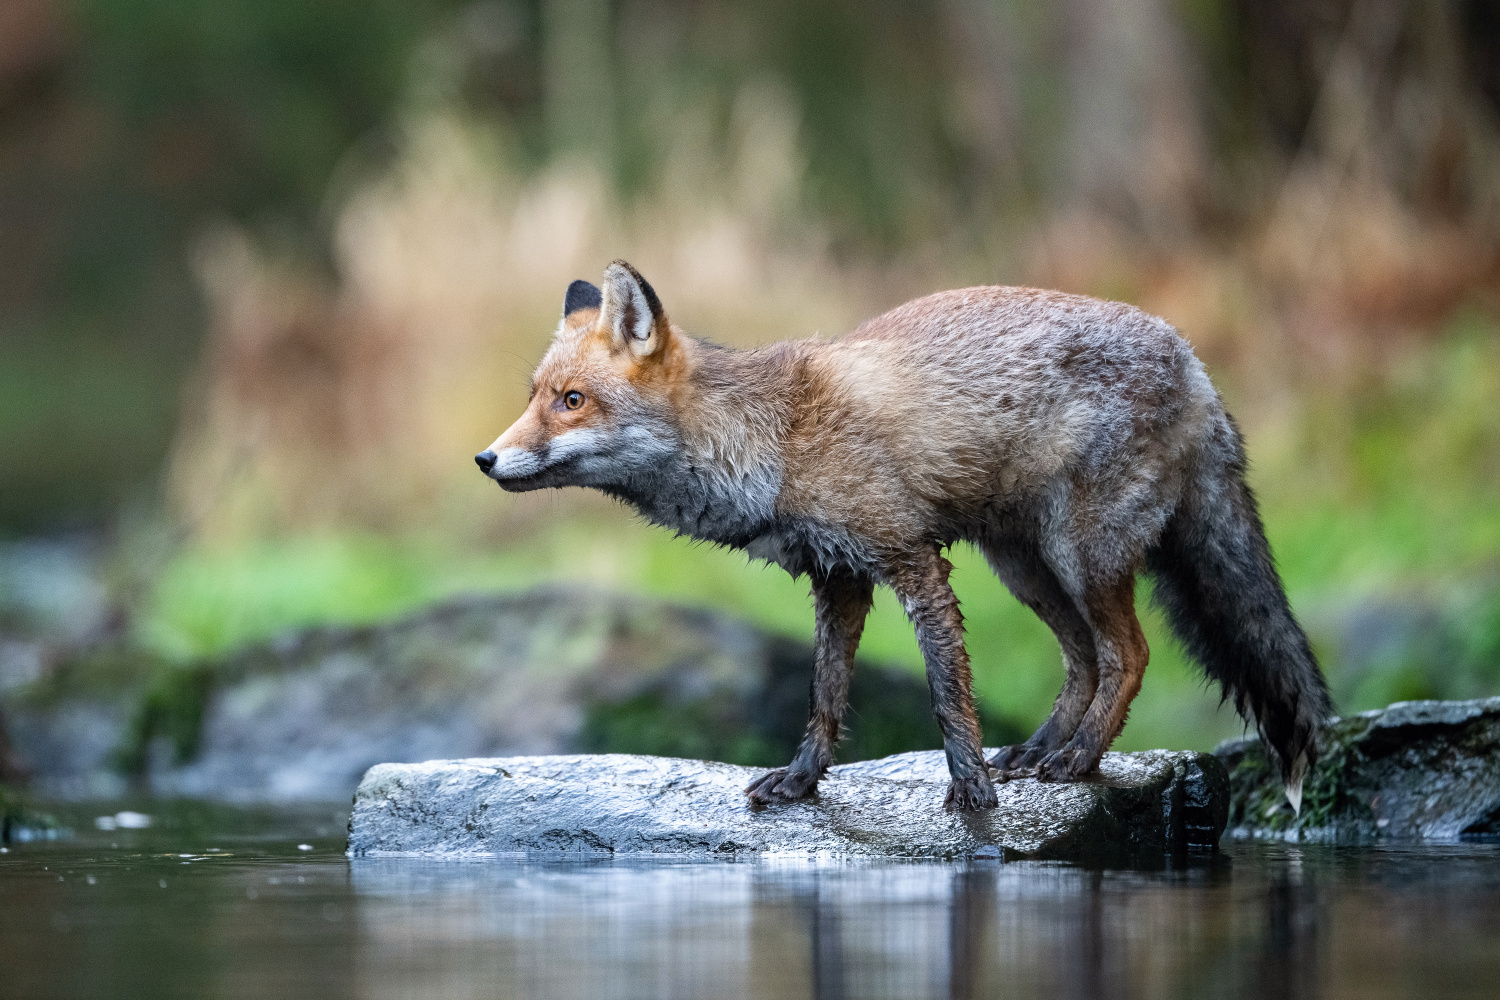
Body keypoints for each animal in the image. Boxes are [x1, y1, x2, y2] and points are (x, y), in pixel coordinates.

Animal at [474, 260, 1332, 815]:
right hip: (1027, 570)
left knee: (1130, 655)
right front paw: (801, 784)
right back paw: (1039, 751)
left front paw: (969, 792)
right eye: (534, 396)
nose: (485, 460)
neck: (774, 440)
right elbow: (824, 698)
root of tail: (1193, 361)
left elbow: (949, 698)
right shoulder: (838, 579)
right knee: (1083, 661)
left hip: (1080, 557)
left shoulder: (912, 563)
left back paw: (1077, 759)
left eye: (572, 401)